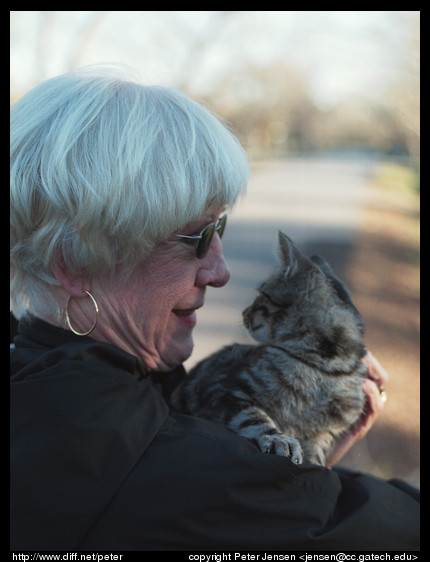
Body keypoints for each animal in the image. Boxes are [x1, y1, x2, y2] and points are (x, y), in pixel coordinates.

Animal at [170, 232, 366, 464]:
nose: (244, 311)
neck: (326, 367)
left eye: (262, 294)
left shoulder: (324, 433)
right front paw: (278, 439)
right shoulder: (223, 388)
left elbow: (317, 455)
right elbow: (254, 418)